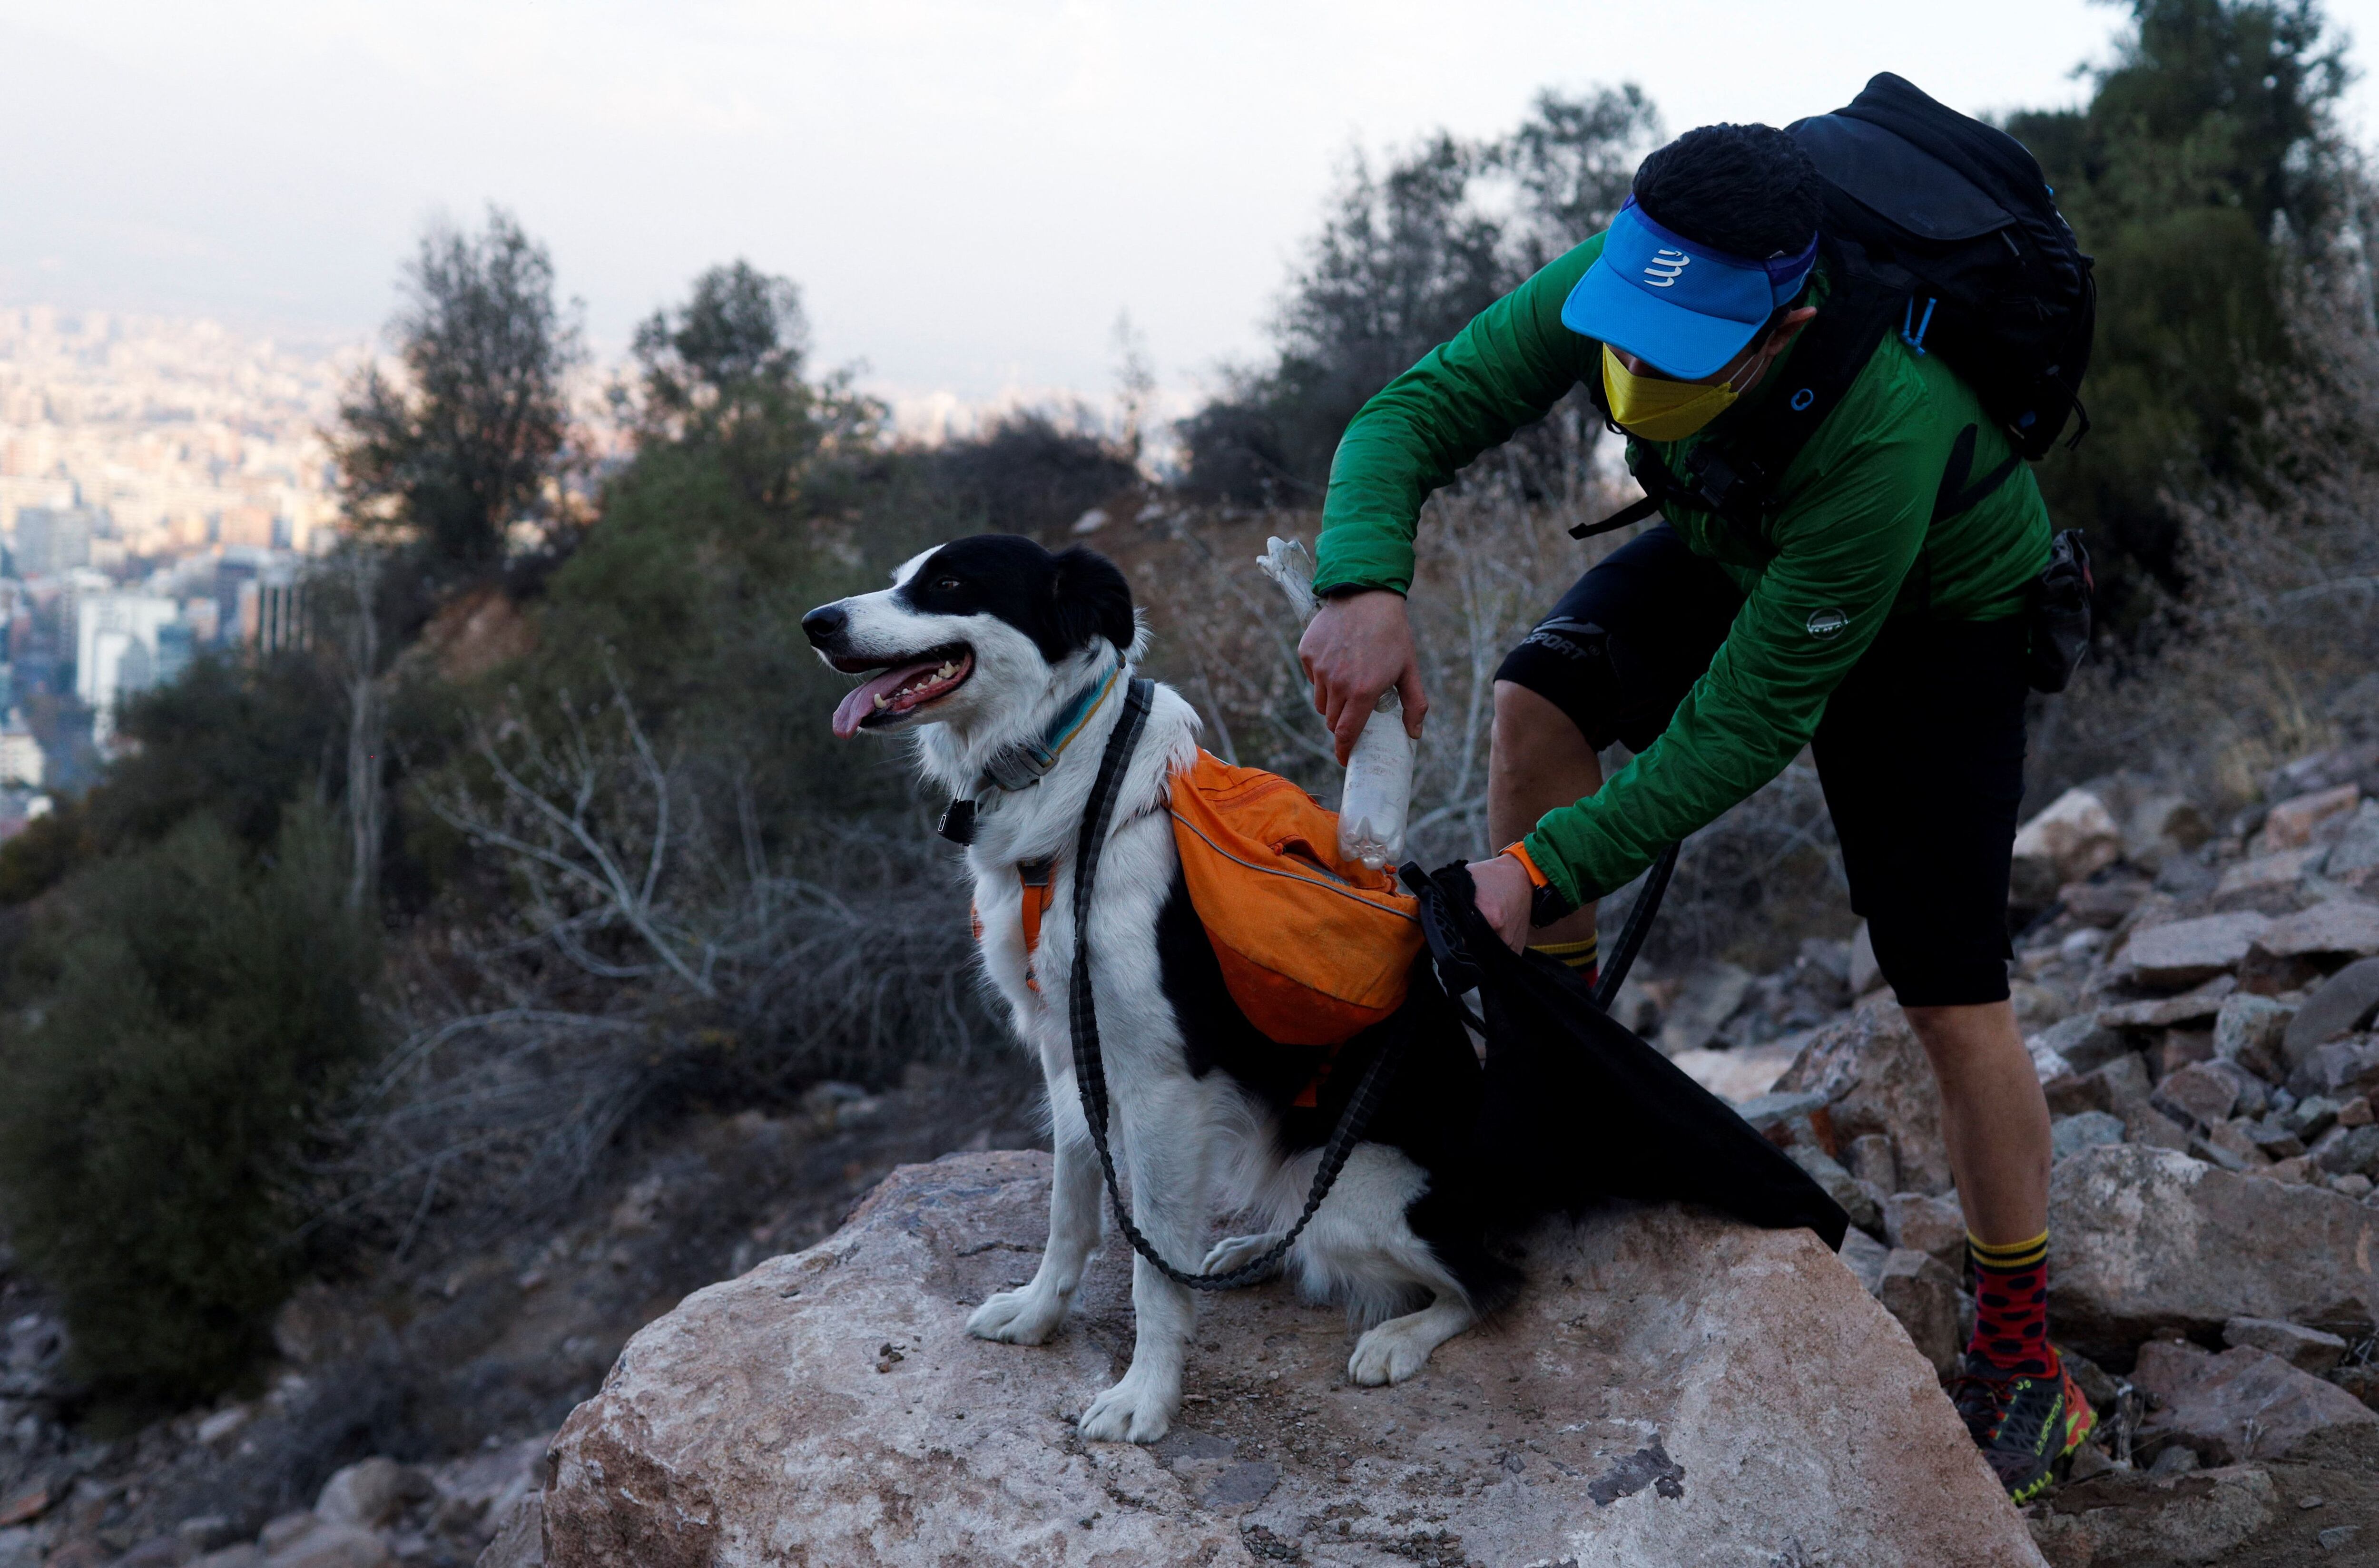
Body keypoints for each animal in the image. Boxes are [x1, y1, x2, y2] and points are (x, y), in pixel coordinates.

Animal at [799, 538, 1504, 1446]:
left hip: (1356, 1194)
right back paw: (1251, 1253)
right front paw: (1038, 1316)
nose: (817, 623)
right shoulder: (1068, 1056)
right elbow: (1069, 1213)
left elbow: (1149, 1270)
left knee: (1481, 1282)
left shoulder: (1164, 1085)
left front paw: (1146, 1395)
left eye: (948, 583)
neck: (1068, 792)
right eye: (897, 578)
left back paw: (1400, 1336)